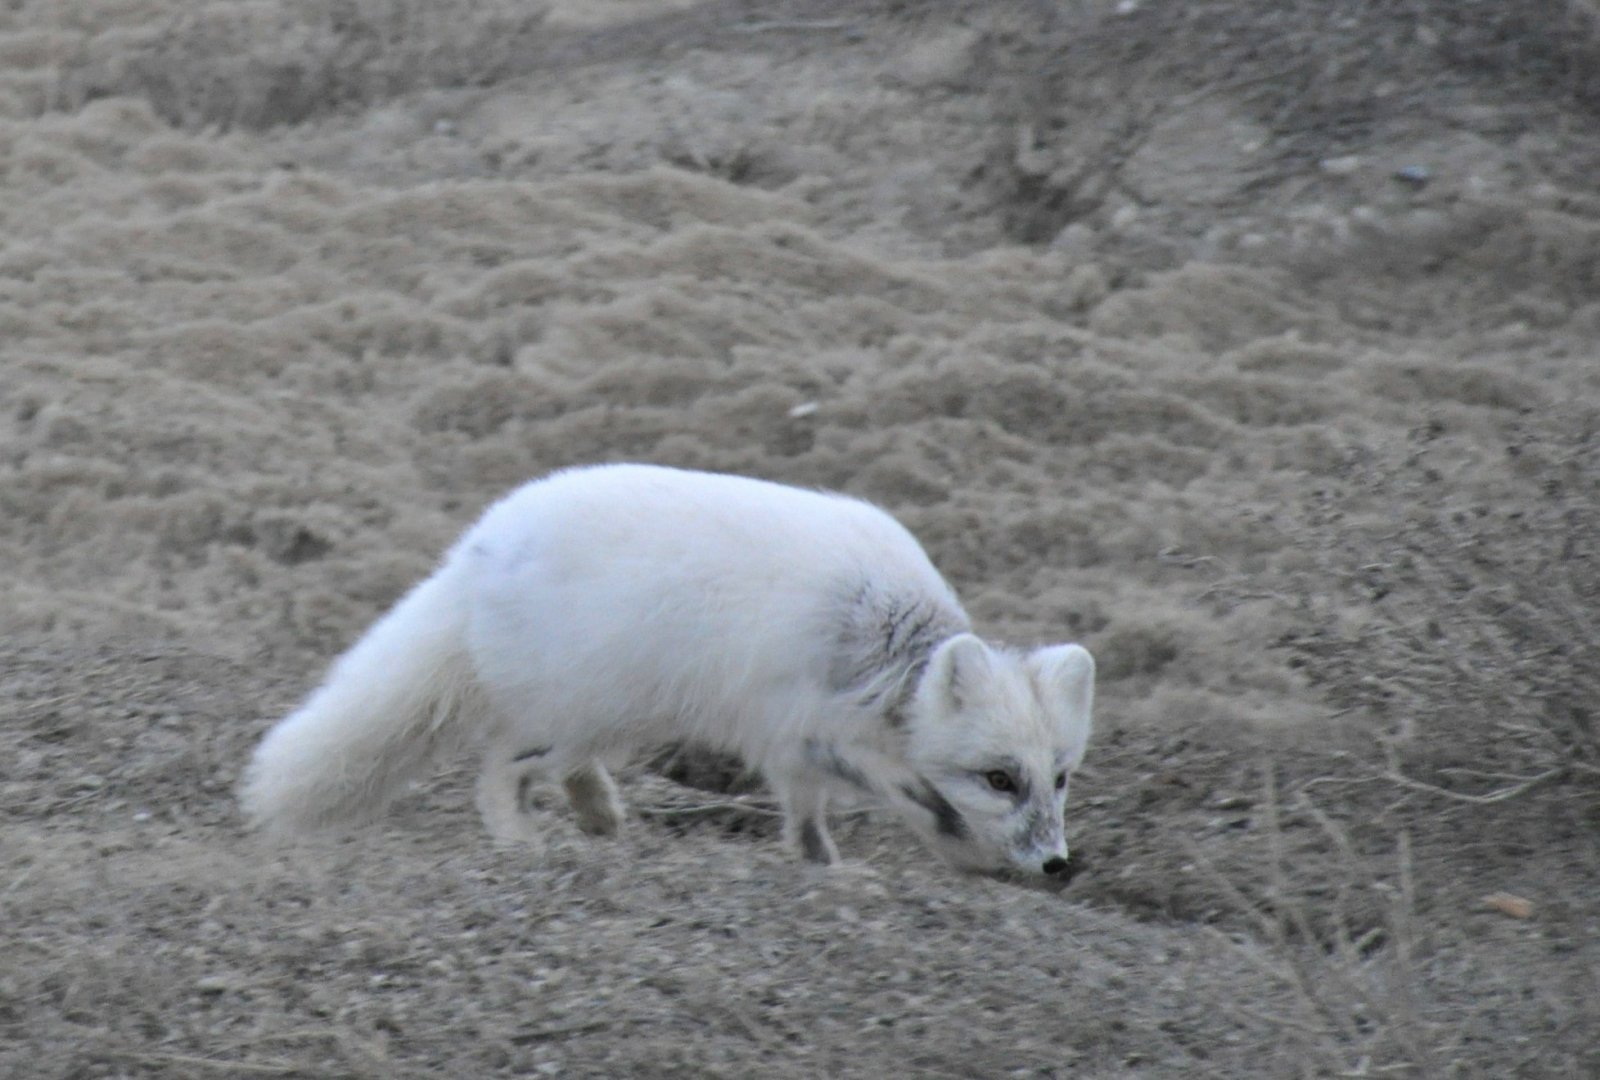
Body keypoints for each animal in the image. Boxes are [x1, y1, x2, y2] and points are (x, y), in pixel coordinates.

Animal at [240, 463, 1095, 877]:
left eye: (1060, 778)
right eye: (999, 778)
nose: (1057, 864)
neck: (881, 641)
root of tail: (478, 551)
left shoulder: (796, 751)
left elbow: (808, 823)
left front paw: (829, 872)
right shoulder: (800, 729)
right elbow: (914, 798)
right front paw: (965, 853)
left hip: (621, 716)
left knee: (555, 766)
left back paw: (598, 814)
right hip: (580, 707)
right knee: (499, 769)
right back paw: (525, 840)